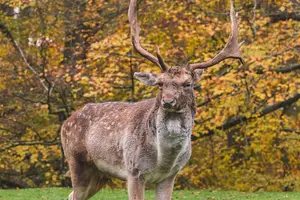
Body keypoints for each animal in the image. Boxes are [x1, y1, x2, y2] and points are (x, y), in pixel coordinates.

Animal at [60, 0, 244, 199]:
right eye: (160, 83)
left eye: (187, 84)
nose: (167, 101)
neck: (162, 161)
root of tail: (65, 122)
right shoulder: (134, 170)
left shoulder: (170, 176)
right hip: (76, 161)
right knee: (74, 193)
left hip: (99, 174)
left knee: (72, 194)